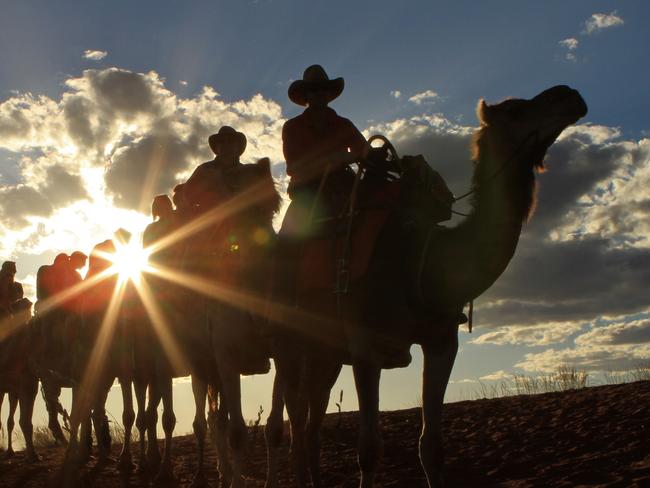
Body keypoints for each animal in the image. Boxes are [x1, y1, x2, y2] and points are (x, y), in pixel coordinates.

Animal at [264, 86, 588, 486]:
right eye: (515, 110)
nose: (569, 95)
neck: (422, 260)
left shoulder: (441, 341)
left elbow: (431, 447)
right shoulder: (366, 345)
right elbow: (369, 450)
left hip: (325, 352)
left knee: (310, 428)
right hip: (288, 342)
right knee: (292, 423)